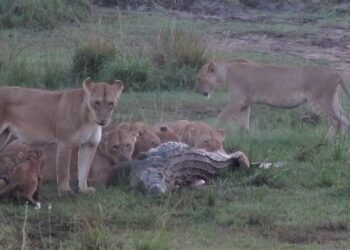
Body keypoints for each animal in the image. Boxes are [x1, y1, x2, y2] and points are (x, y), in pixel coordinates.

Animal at [194, 60, 350, 139]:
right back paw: (342, 142)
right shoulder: (245, 103)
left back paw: (328, 141)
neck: (226, 72)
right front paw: (245, 137)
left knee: (335, 121)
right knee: (344, 118)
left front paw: (215, 133)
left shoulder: (237, 101)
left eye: (199, 78)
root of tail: (334, 71)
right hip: (332, 100)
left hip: (319, 100)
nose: (197, 91)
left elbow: (222, 116)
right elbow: (244, 122)